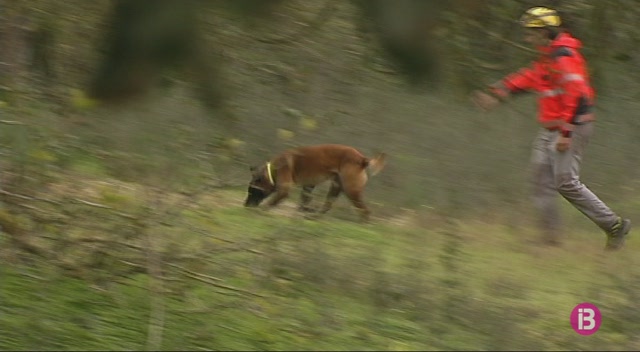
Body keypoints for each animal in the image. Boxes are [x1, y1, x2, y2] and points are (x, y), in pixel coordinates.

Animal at [244, 143, 384, 220]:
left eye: (252, 190)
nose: (245, 205)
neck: (273, 169)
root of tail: (362, 159)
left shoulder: (284, 190)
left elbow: (272, 202)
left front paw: (261, 210)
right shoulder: (308, 186)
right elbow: (303, 202)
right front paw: (303, 211)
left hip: (351, 190)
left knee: (365, 211)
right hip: (336, 187)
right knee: (327, 206)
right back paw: (315, 217)